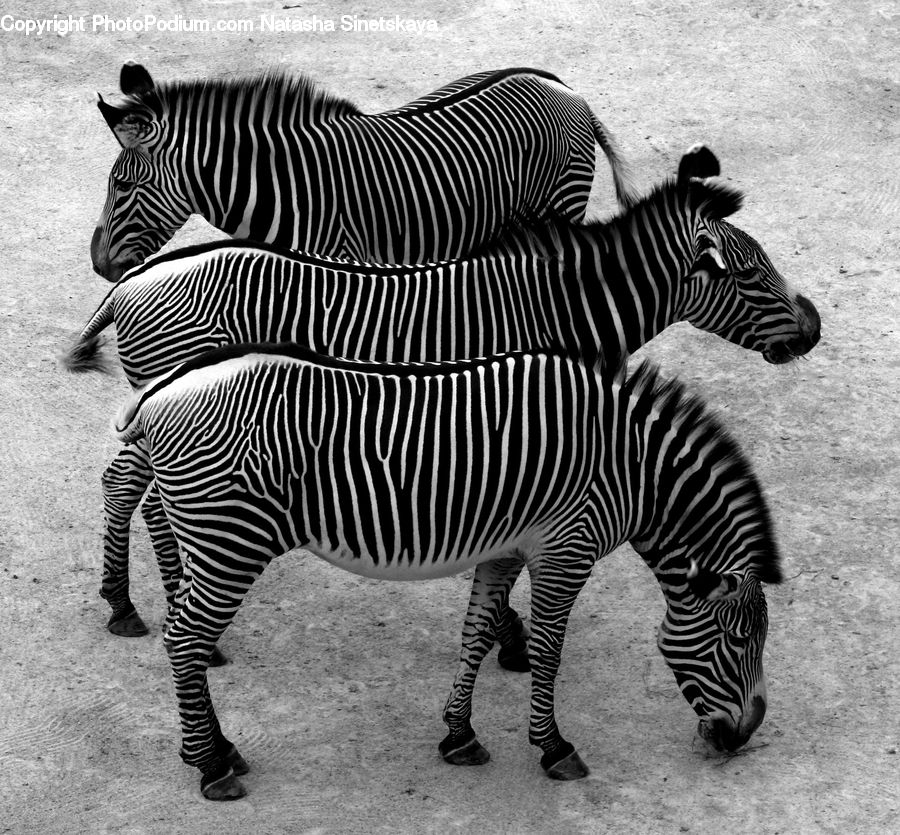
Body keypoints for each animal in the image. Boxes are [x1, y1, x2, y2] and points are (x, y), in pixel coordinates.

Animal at [65, 145, 820, 650]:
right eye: (749, 275)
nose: (813, 328)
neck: (563, 306)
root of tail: (130, 280)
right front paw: (511, 634)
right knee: (132, 488)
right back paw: (140, 602)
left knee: (128, 484)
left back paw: (134, 599)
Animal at [112, 346, 783, 800]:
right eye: (738, 640)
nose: (745, 736)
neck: (631, 467)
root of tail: (160, 389)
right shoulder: (566, 549)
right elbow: (549, 650)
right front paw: (553, 746)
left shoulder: (505, 548)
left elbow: (477, 633)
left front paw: (459, 734)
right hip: (230, 540)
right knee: (183, 641)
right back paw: (210, 766)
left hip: (211, 540)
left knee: (186, 640)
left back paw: (222, 749)